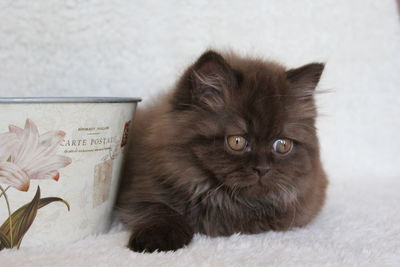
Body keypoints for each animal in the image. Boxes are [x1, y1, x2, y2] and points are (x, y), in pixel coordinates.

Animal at [116, 50, 328, 253]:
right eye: (237, 141)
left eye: (283, 145)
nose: (262, 169)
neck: (224, 200)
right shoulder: (141, 190)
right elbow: (159, 210)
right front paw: (156, 240)